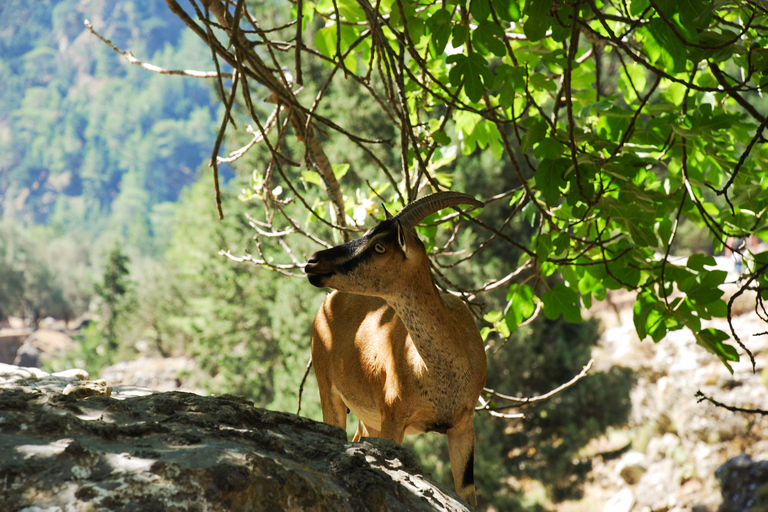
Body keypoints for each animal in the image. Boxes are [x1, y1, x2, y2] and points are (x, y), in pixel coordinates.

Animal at [304, 192, 486, 508]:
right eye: (367, 232)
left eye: (379, 246)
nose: (313, 261)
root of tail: (327, 305)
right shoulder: (392, 417)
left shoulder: (463, 424)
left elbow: (467, 493)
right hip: (328, 389)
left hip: (368, 418)